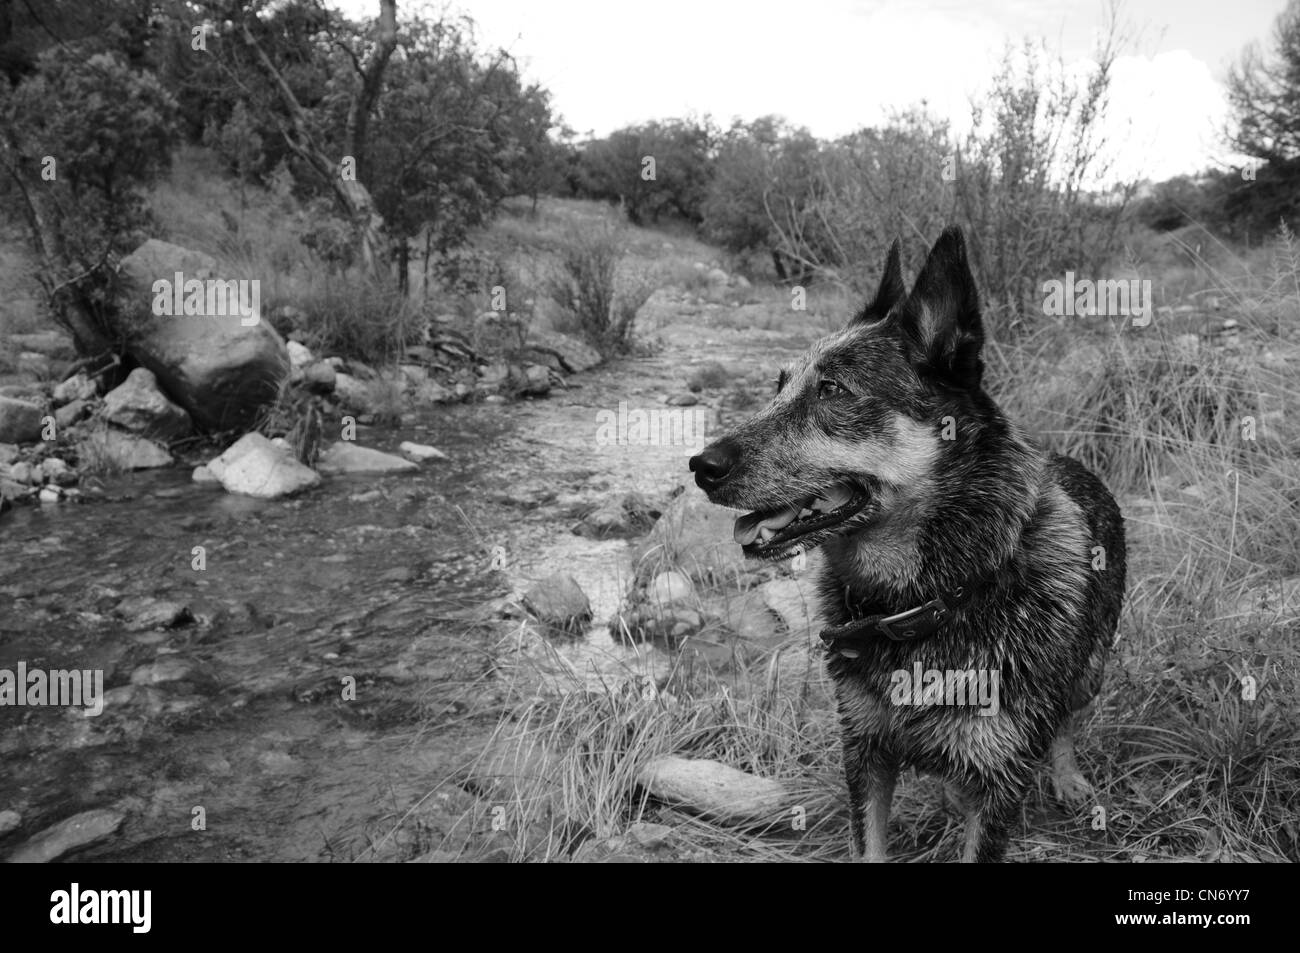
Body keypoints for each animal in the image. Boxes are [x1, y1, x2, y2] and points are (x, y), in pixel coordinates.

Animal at [691, 226, 1128, 858]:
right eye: (779, 386)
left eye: (832, 389)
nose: (702, 465)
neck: (929, 599)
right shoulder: (864, 751)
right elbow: (869, 842)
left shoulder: (1000, 782)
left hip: (1091, 665)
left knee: (1067, 720)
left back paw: (1068, 777)